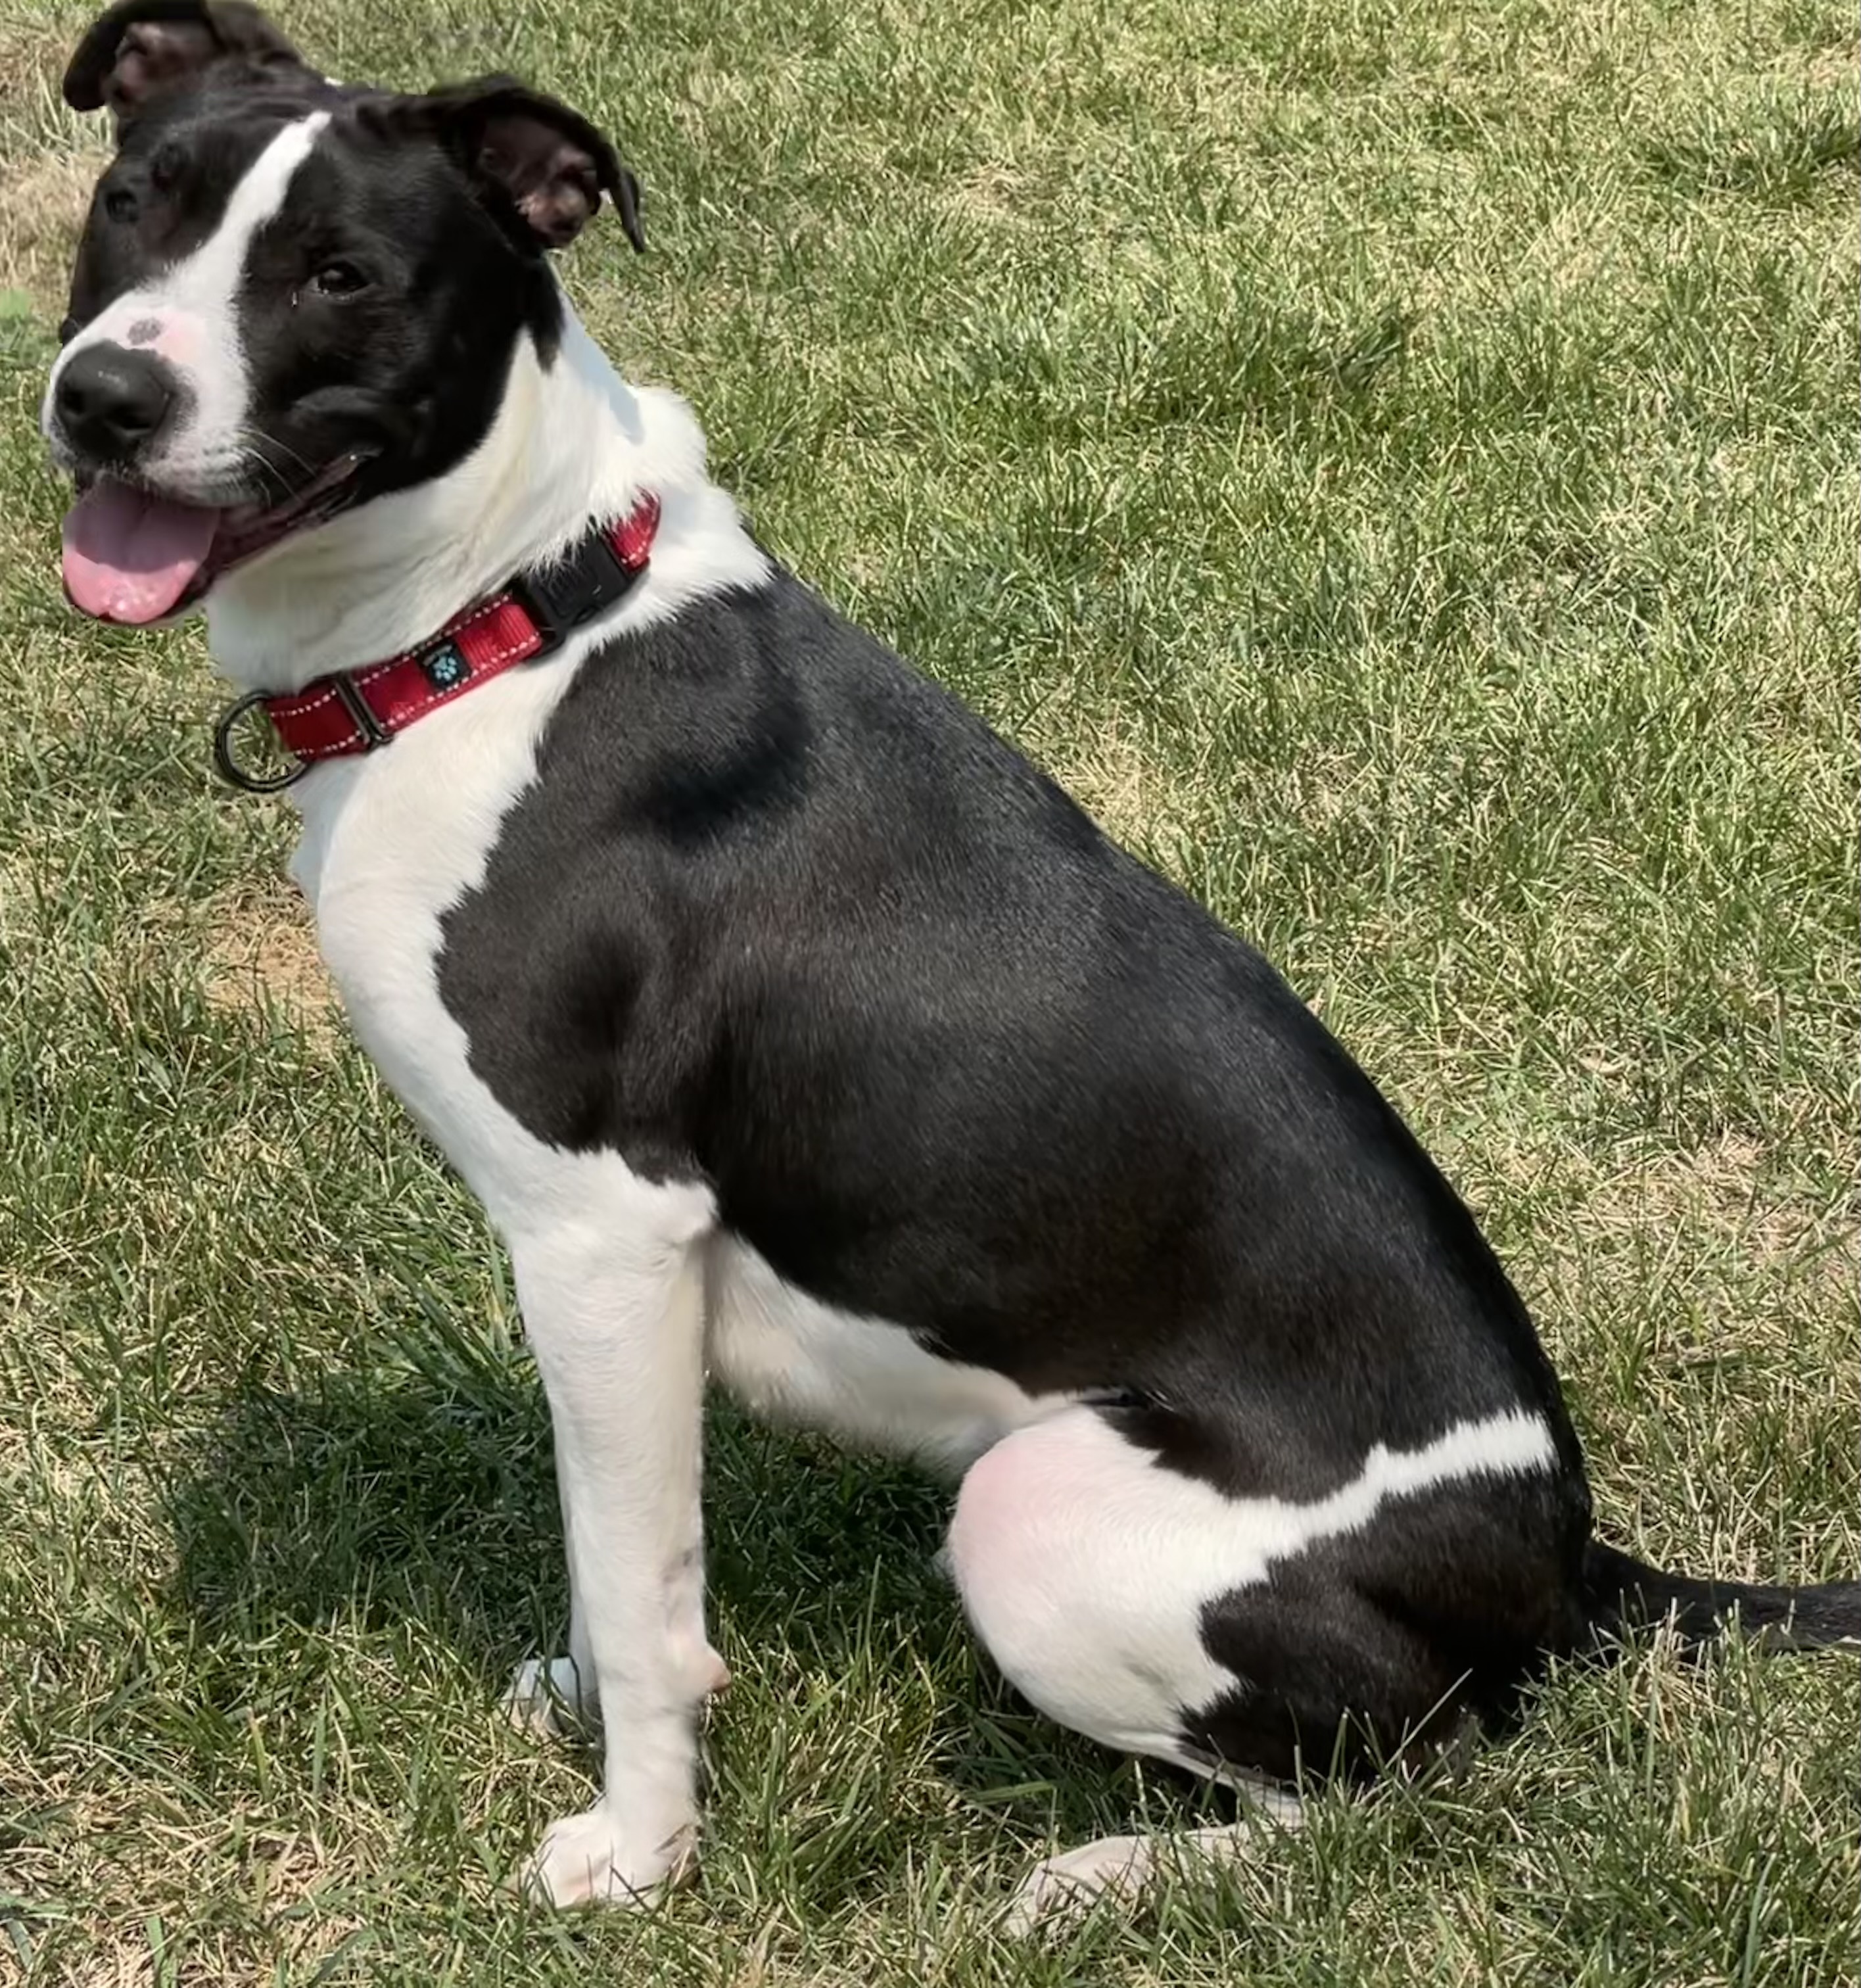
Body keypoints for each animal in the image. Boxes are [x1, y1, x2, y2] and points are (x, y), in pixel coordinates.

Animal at [43, 0, 1861, 1924]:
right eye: (135, 199)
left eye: (341, 275)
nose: (103, 399)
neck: (505, 612)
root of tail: (1568, 1555)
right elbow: (611, 1548)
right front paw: (584, 1710)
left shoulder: (602, 1229)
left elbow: (643, 1586)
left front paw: (636, 1849)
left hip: (1038, 1519)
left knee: (1401, 1774)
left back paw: (1114, 1876)